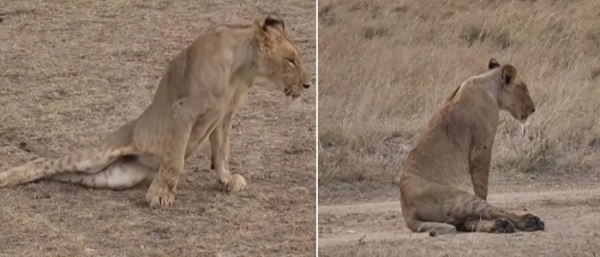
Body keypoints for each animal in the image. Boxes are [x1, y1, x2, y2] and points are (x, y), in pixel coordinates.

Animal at [0, 13, 312, 208]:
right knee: (43, 163)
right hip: (97, 155)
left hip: (105, 176)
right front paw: (161, 195)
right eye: (291, 60)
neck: (242, 71)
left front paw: (226, 179)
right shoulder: (184, 111)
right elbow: (175, 161)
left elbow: (222, 151)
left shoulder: (224, 116)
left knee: (61, 174)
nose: (308, 84)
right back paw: (6, 178)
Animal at [398, 59, 544, 235]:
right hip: (460, 198)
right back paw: (527, 221)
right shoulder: (482, 147)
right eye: (524, 88)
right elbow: (482, 188)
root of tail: (408, 213)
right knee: (486, 212)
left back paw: (502, 225)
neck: (488, 85)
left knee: (467, 223)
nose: (533, 108)